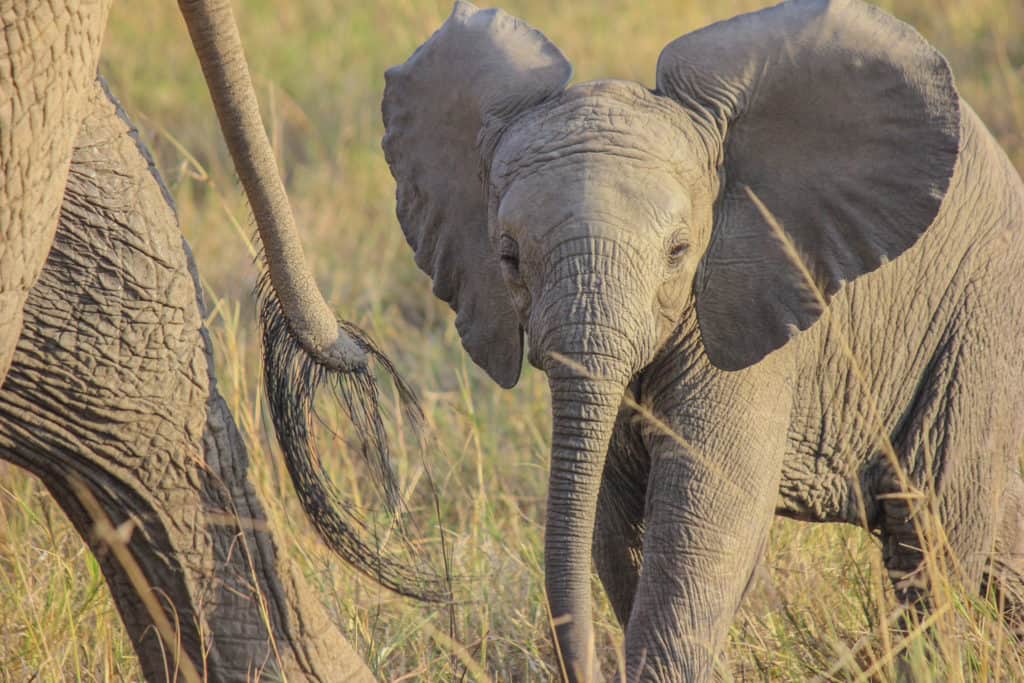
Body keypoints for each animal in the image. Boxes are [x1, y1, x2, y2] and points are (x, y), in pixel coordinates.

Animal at [382, 0, 1024, 680]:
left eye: (678, 251)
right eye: (507, 258)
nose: (584, 664)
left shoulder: (746, 304)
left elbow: (704, 514)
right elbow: (616, 520)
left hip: (977, 313)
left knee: (931, 529)